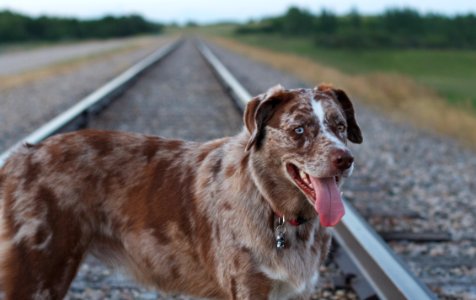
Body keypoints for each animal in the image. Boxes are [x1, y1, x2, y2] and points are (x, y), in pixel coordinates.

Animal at [0, 83, 362, 298]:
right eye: (299, 129)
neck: (279, 211)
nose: (345, 159)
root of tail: (21, 154)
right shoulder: (247, 286)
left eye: (341, 127)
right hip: (37, 274)